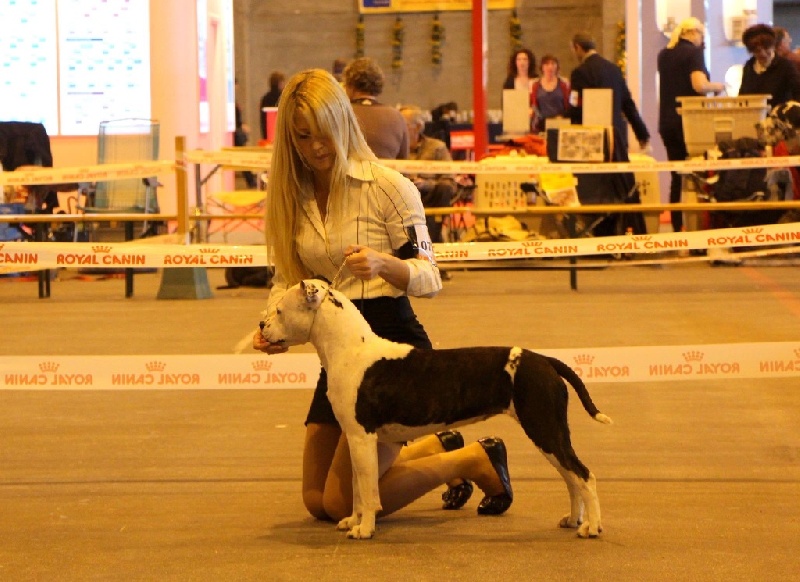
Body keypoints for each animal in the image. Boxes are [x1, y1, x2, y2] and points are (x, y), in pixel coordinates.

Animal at [260, 279, 612, 540]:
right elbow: (358, 488)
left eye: (280, 309)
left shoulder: (363, 437)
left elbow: (367, 489)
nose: (261, 324)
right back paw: (573, 519)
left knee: (583, 475)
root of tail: (544, 361)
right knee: (571, 478)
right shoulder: (356, 439)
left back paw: (591, 527)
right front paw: (353, 520)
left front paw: (364, 529)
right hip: (550, 433)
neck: (348, 348)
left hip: (544, 428)